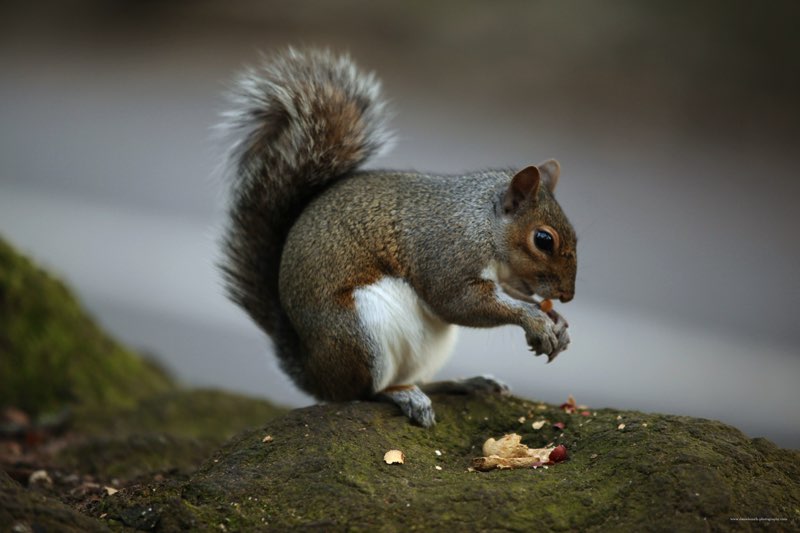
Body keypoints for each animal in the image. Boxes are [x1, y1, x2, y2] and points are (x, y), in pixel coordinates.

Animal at [222, 47, 580, 426]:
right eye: (543, 240)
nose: (567, 295)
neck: (480, 222)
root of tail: (315, 373)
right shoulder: (446, 253)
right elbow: (457, 302)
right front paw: (535, 320)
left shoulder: (503, 275)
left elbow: (511, 292)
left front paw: (556, 321)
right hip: (358, 334)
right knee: (364, 392)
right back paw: (402, 395)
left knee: (418, 378)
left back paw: (464, 383)